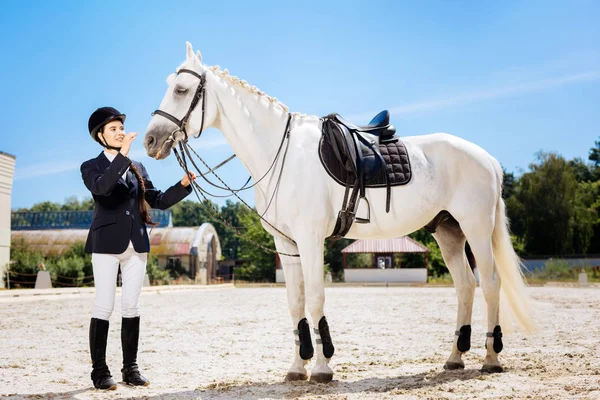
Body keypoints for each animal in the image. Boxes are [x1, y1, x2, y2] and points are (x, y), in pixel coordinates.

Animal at [143, 42, 536, 382]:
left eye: (181, 89)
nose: (149, 140)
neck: (281, 154)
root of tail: (487, 158)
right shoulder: (286, 244)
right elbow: (296, 303)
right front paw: (296, 367)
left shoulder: (310, 239)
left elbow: (316, 298)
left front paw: (321, 367)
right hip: (448, 231)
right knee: (466, 286)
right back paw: (455, 358)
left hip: (476, 229)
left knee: (491, 283)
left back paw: (491, 358)